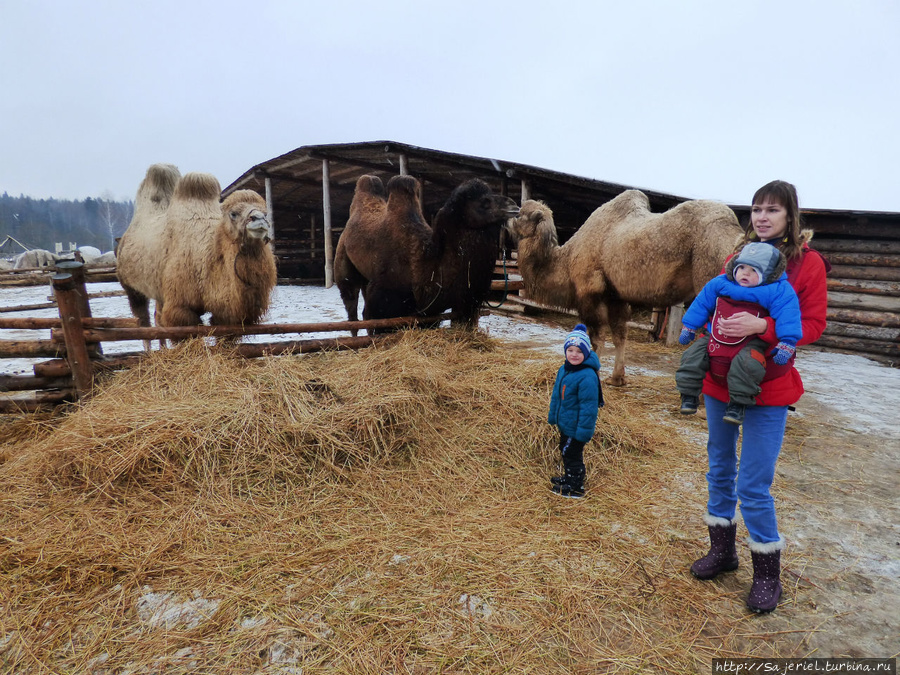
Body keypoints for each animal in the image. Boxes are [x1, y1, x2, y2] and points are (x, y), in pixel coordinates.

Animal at [118, 164, 278, 348]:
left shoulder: (225, 312)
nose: (259, 220)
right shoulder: (180, 307)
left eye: (265, 212)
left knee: (157, 317)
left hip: (158, 288)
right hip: (131, 288)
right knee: (143, 322)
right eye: (233, 213)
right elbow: (186, 334)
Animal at [334, 174, 516, 332]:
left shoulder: (428, 312)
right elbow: (376, 322)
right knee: (352, 309)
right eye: (483, 202)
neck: (422, 266)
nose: (513, 206)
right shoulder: (382, 295)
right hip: (344, 265)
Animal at [510, 190, 740, 386]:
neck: (566, 260)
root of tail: (737, 237)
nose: (509, 216)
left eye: (521, 214)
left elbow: (597, 338)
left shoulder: (591, 292)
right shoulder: (616, 297)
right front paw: (617, 379)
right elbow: (620, 335)